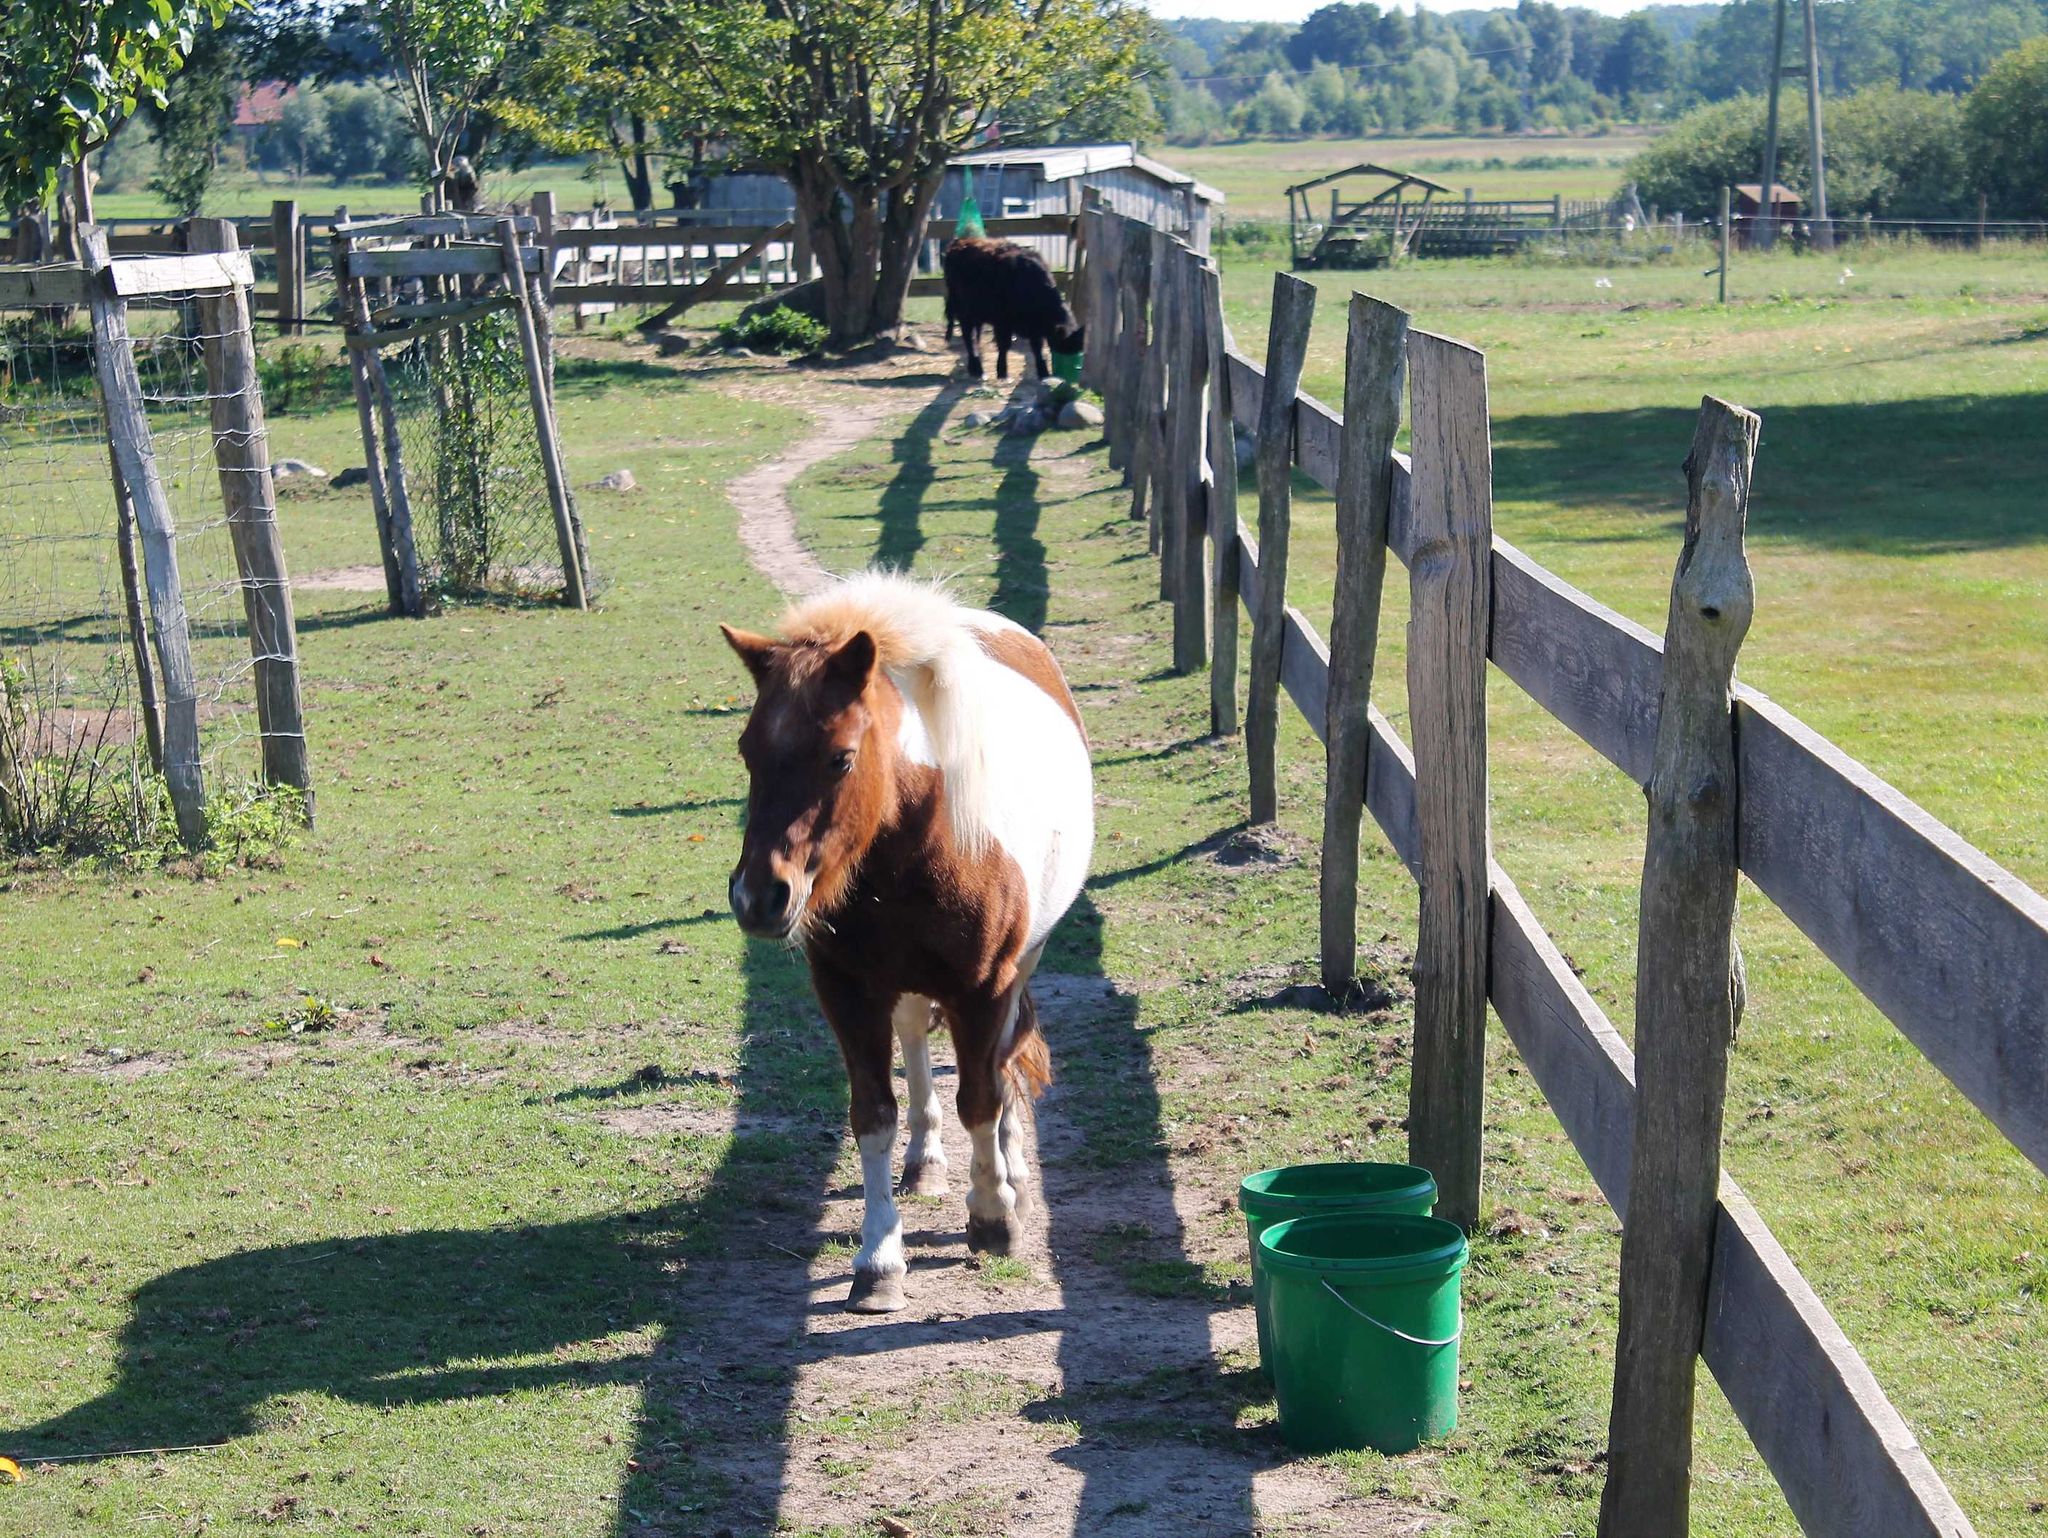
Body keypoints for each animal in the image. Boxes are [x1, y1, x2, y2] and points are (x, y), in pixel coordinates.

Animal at [729, 573, 1097, 1318]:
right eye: (750, 752)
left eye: (840, 757)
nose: (759, 898)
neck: (918, 845)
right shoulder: (848, 992)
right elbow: (873, 1116)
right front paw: (879, 1262)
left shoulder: (983, 988)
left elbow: (981, 1099)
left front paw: (993, 1216)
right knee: (917, 1048)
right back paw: (926, 1162)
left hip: (1020, 965)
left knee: (1003, 1061)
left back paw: (1012, 1170)